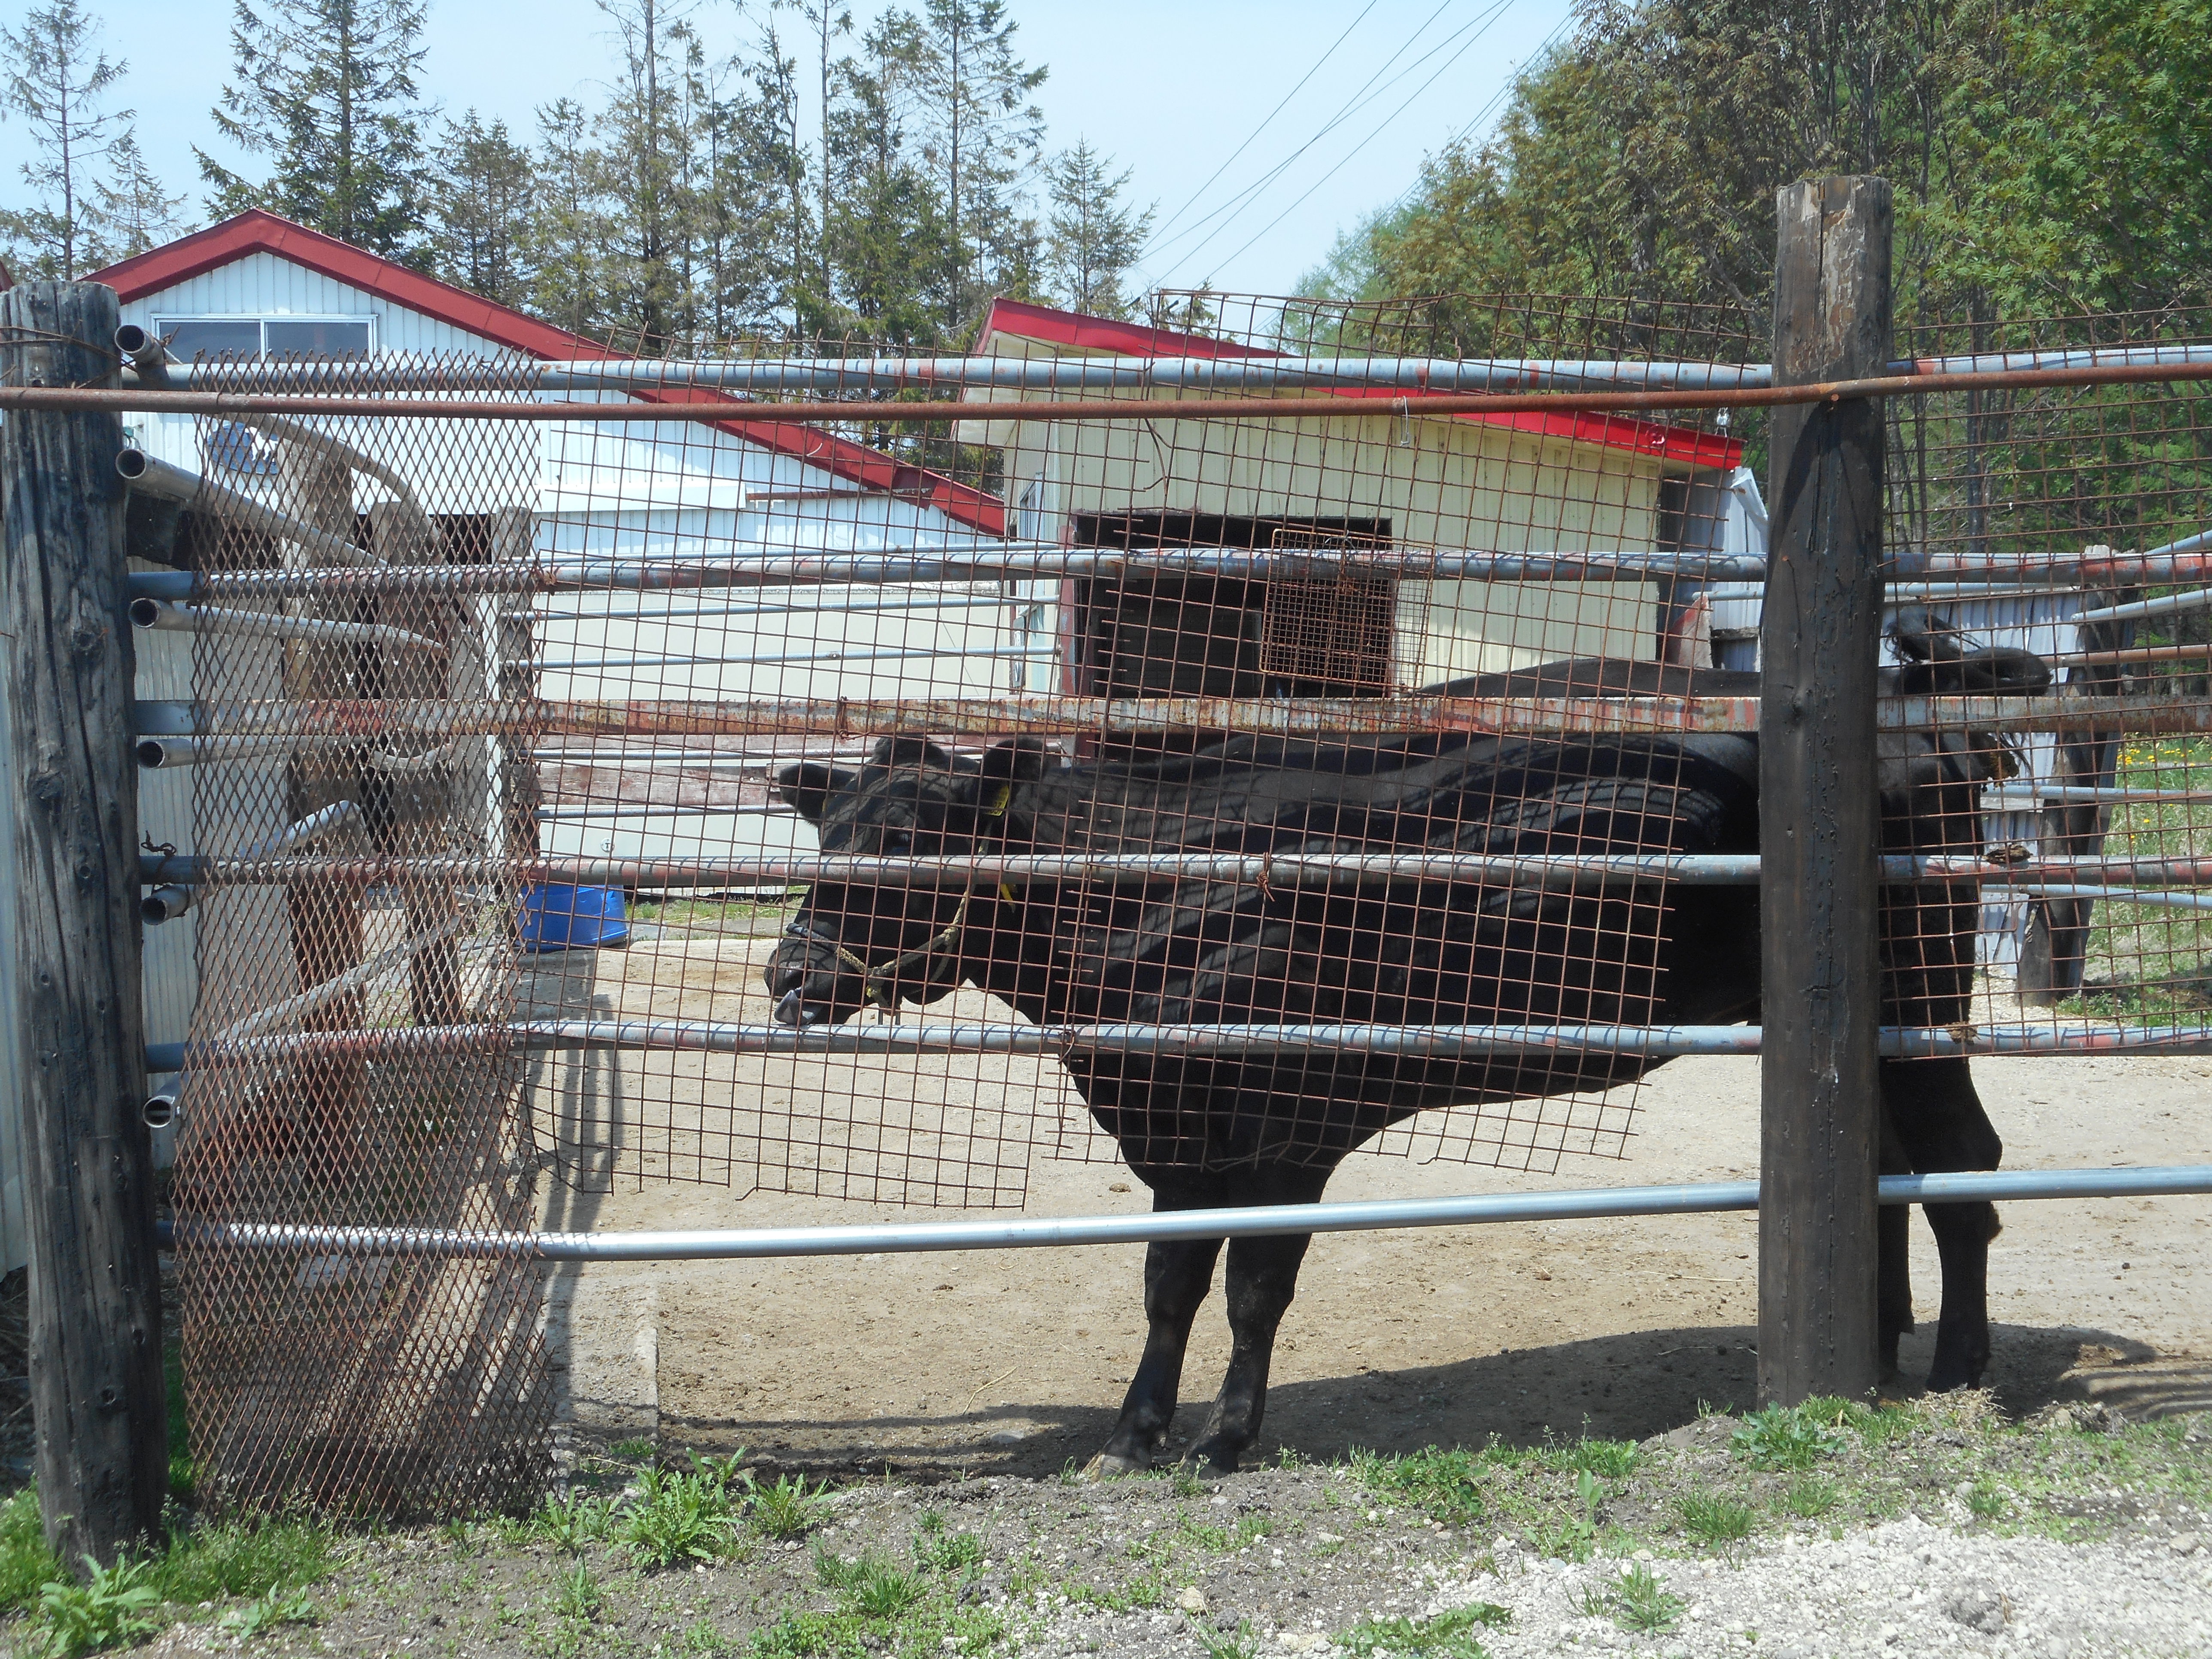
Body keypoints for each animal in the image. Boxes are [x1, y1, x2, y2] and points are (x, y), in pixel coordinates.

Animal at [769, 641, 2044, 1477]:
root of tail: (1913, 694)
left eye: (909, 841)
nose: (787, 974)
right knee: (1892, 1160)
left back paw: (1960, 1364)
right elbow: (1169, 1284)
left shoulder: (1289, 1127)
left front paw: (1226, 1437)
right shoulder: (1180, 1131)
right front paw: (1134, 1433)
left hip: (1924, 982)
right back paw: (1880, 1339)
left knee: (1963, 1161)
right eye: (828, 831)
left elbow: (1253, 1289)